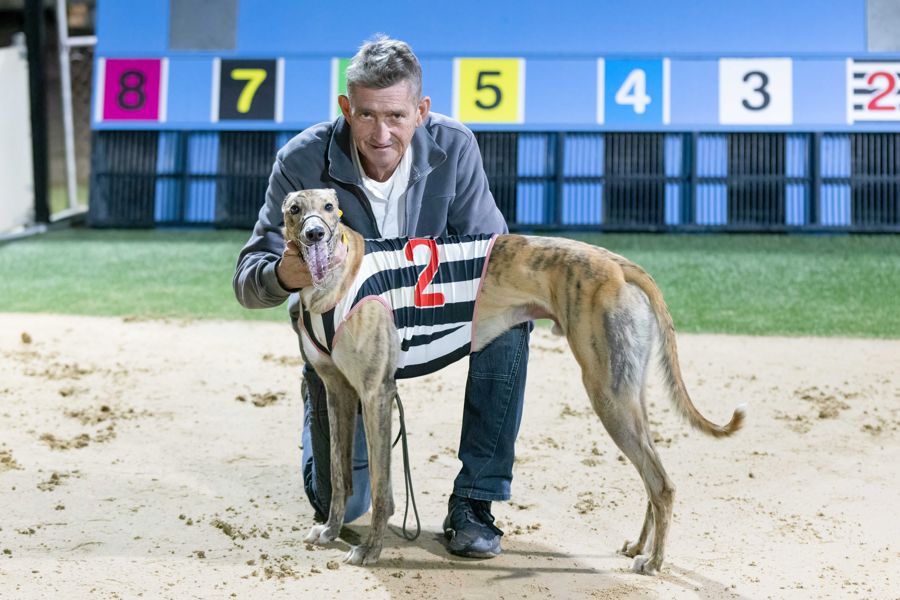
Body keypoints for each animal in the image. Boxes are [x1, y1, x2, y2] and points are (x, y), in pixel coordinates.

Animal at [284, 188, 745, 574]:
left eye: (330, 207)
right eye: (293, 208)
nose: (314, 234)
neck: (338, 278)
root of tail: (616, 263)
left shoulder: (376, 393)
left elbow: (381, 490)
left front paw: (370, 551)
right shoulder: (340, 392)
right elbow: (340, 475)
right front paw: (329, 531)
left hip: (608, 395)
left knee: (661, 484)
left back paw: (655, 561)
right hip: (626, 391)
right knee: (652, 478)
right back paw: (641, 547)